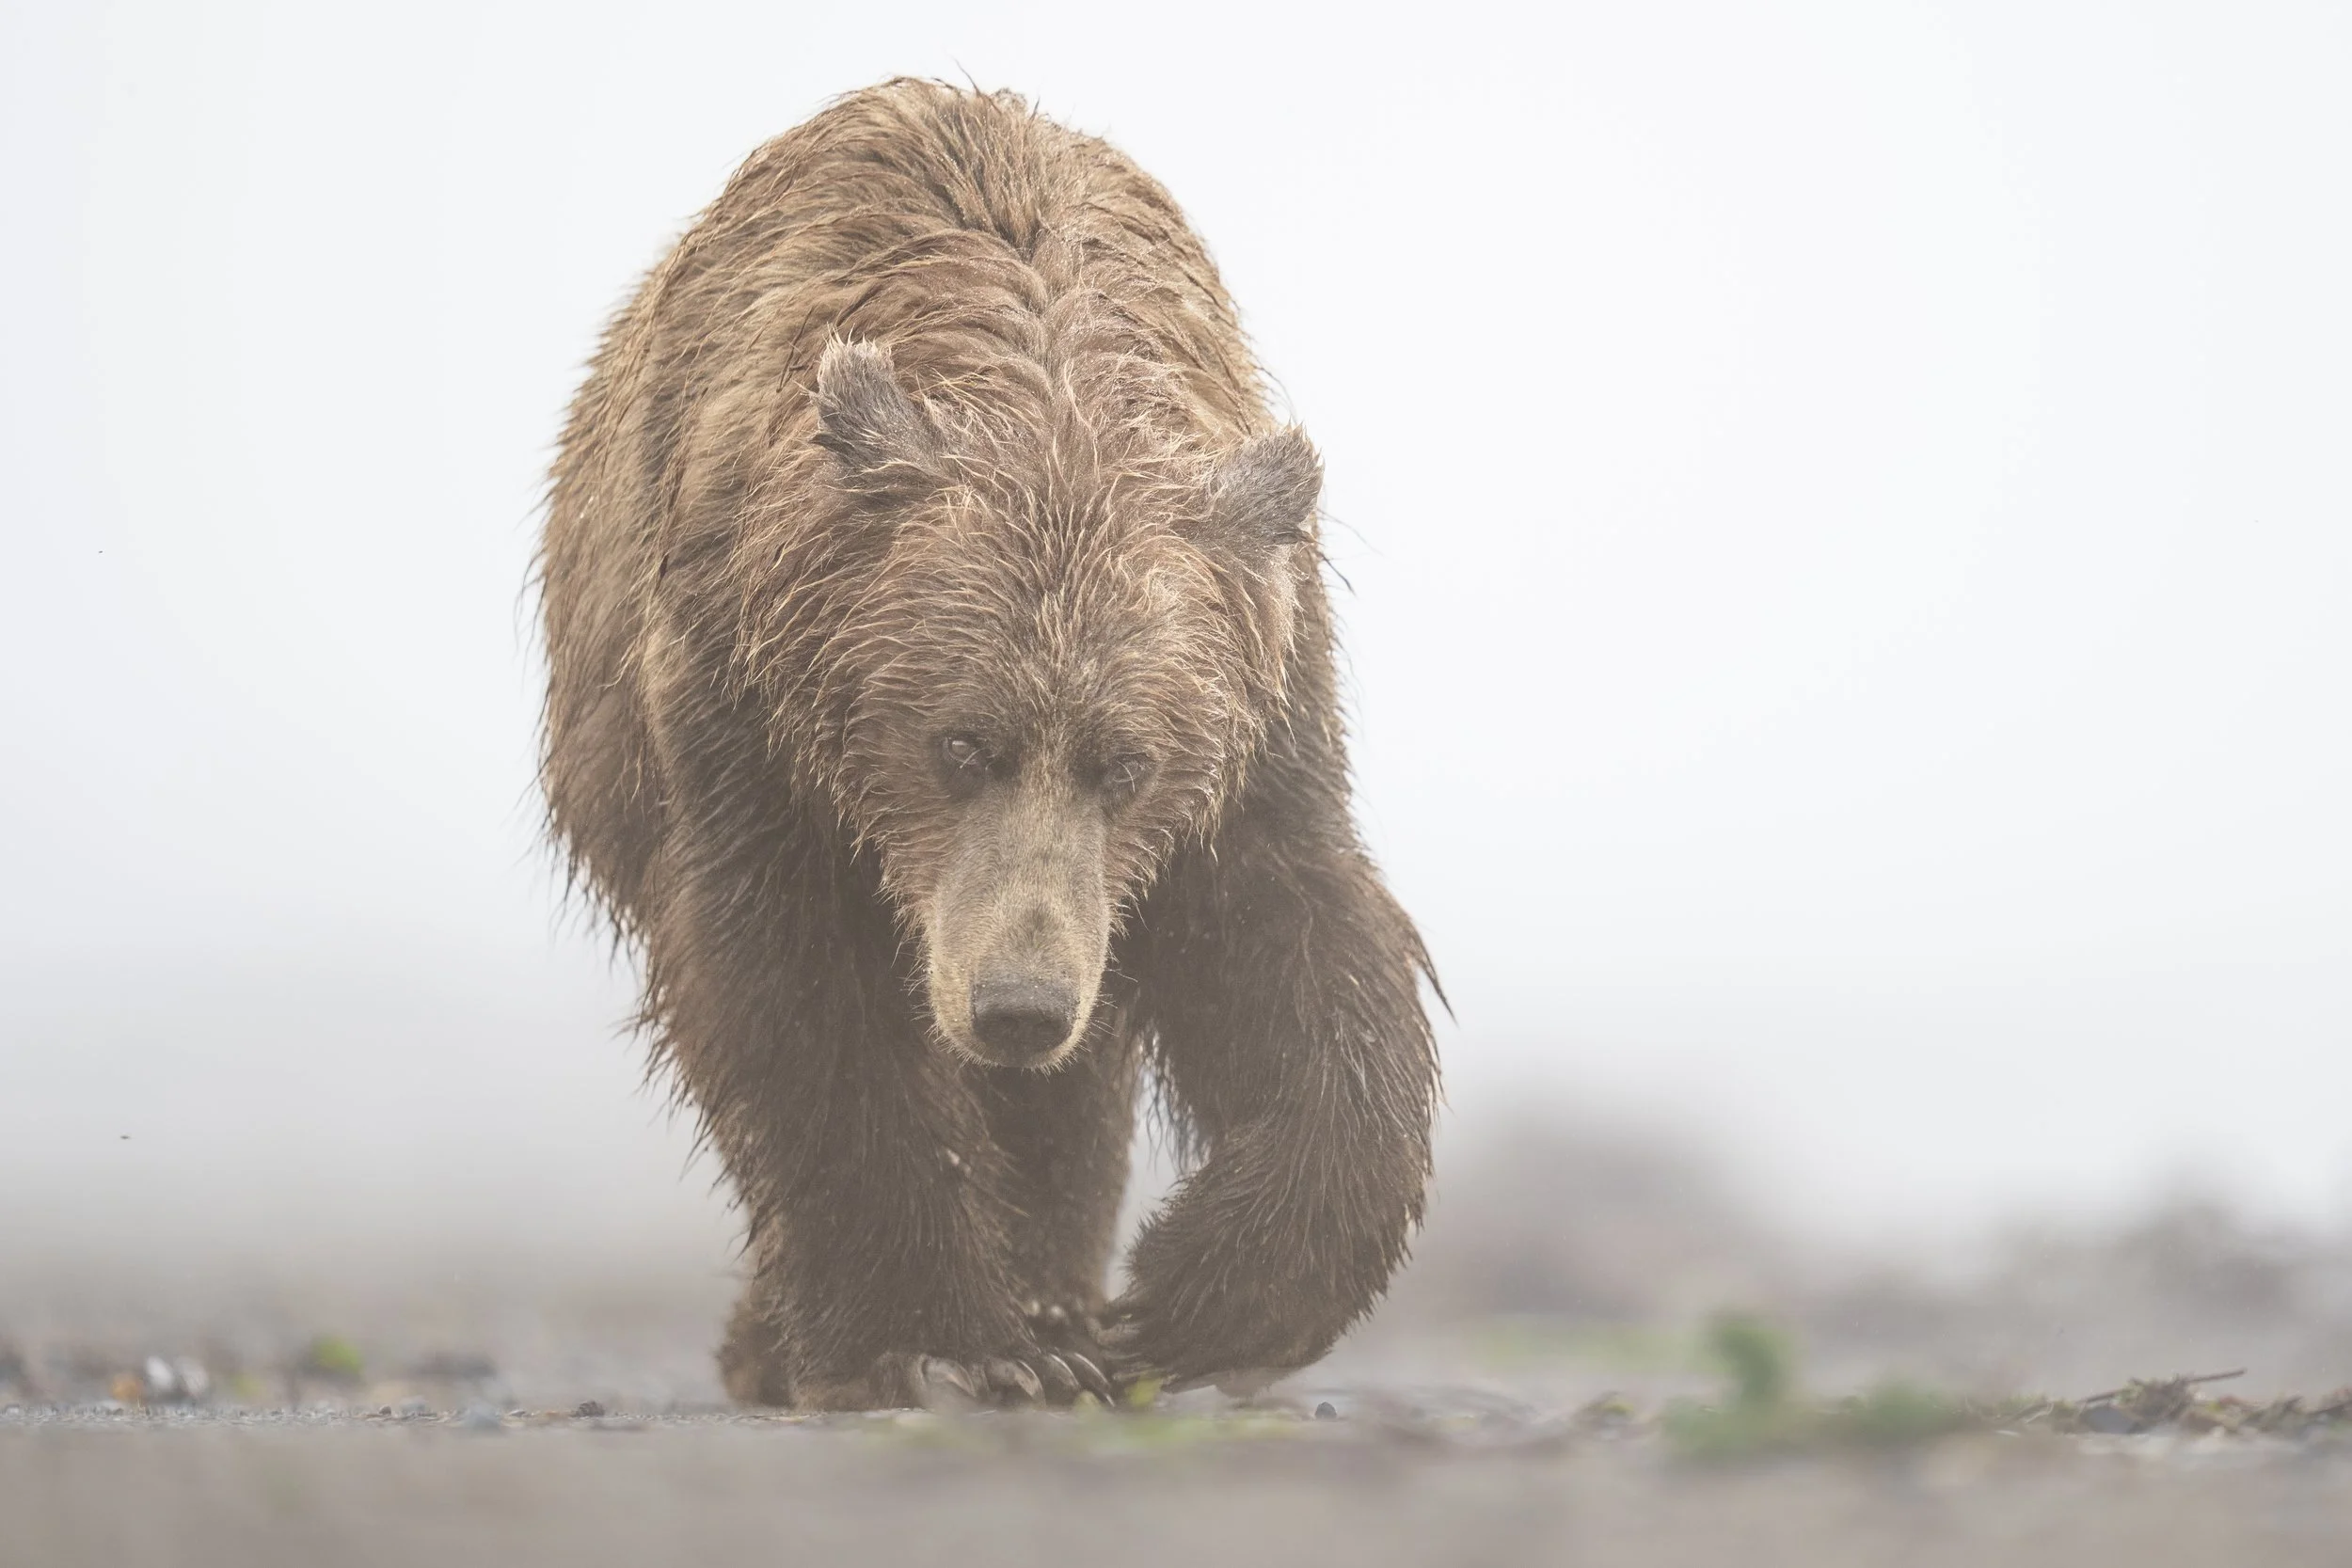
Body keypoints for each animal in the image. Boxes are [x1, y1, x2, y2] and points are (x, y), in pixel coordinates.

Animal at [537, 79, 1439, 1410]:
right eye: (960, 743)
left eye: (1127, 761)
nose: (1019, 1004)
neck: (1049, 382)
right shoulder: (746, 708)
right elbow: (798, 994)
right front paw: (940, 1341)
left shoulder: (1254, 705)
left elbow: (1305, 951)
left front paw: (1191, 1300)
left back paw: (1057, 1298)